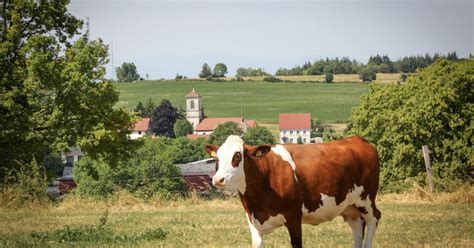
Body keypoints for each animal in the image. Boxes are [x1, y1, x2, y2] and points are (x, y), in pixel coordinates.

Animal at [206, 136, 382, 248]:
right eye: (218, 157)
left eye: (237, 156)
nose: (218, 179)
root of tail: (358, 139)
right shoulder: (252, 219)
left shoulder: (293, 217)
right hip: (349, 206)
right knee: (357, 225)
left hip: (366, 200)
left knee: (374, 219)